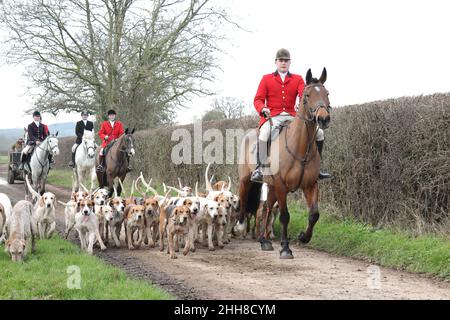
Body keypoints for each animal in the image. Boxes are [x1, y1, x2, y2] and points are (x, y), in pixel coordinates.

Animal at [239, 69, 330, 258]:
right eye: (307, 95)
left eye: (327, 93)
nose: (323, 119)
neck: (301, 148)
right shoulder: (281, 185)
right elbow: (284, 216)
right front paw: (286, 248)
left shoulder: (310, 185)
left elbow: (314, 214)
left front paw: (303, 237)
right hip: (247, 180)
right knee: (244, 200)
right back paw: (241, 227)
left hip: (271, 186)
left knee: (266, 209)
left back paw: (264, 240)